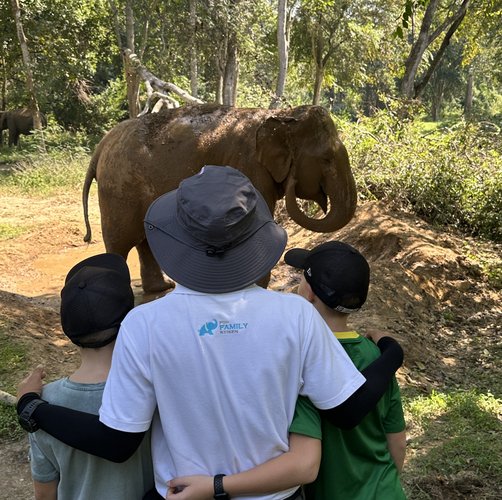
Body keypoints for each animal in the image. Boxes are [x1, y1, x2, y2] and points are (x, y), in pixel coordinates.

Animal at [83, 104, 356, 292]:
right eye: (326, 159)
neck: (281, 115)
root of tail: (102, 146)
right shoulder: (248, 168)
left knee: (144, 238)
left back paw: (163, 288)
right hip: (119, 187)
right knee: (120, 240)